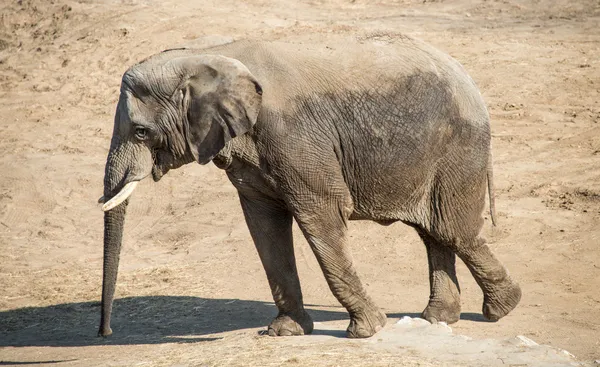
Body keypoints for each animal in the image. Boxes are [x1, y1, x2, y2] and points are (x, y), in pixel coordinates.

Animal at [97, 33, 520, 340]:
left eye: (141, 132)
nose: (106, 332)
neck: (209, 54)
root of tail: (468, 78)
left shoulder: (296, 137)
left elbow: (322, 214)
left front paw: (365, 331)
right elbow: (264, 225)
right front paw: (283, 332)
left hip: (459, 146)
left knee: (452, 230)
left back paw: (502, 309)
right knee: (433, 232)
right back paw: (438, 318)